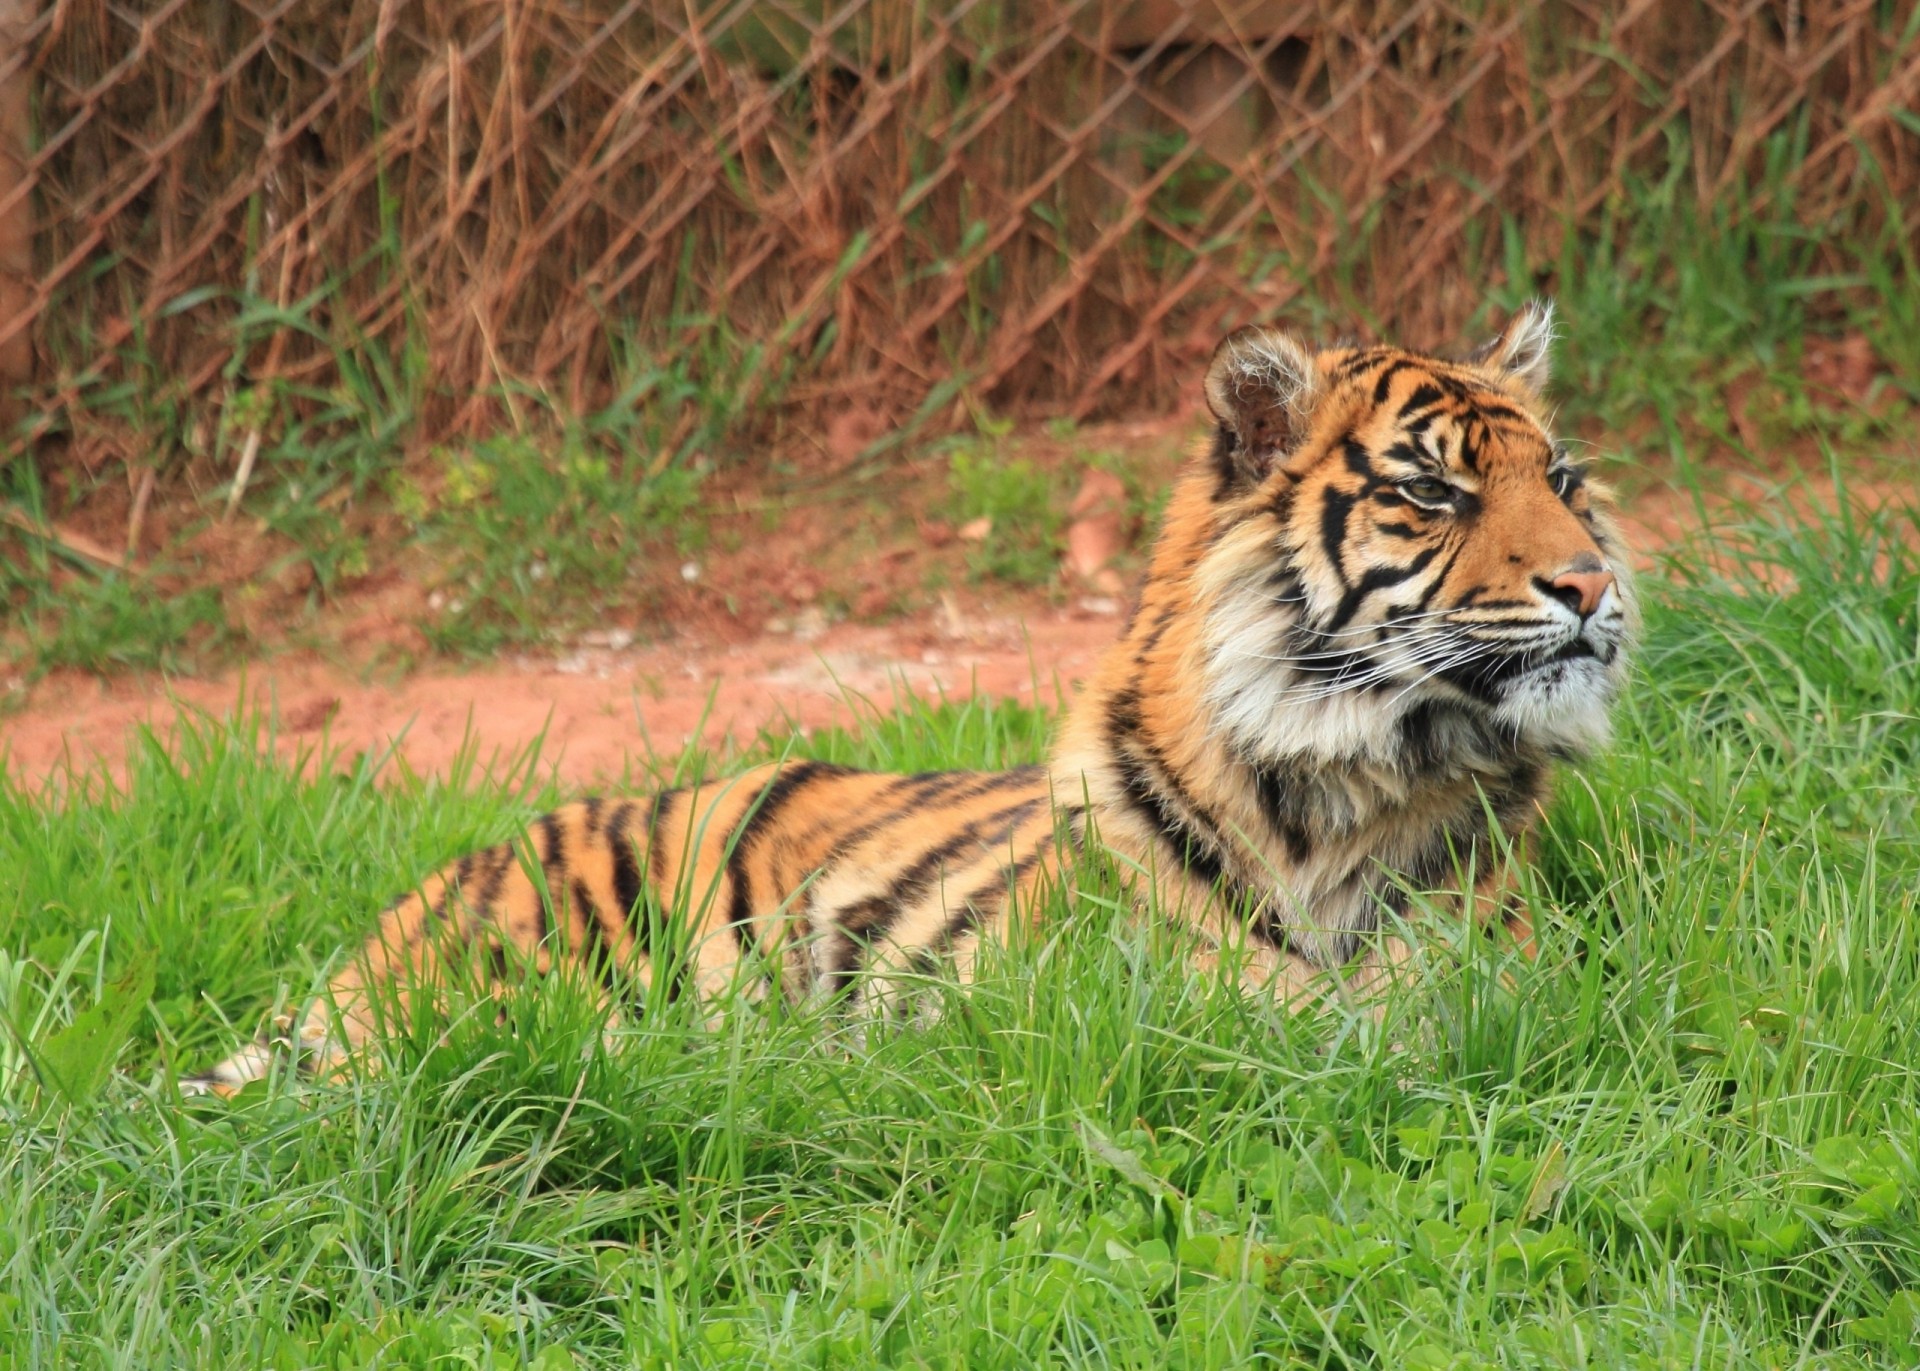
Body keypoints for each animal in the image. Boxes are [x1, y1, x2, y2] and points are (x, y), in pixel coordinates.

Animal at [186, 301, 1634, 1094]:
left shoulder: (1499, 966)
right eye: (1432, 492)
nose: (1590, 580)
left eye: (1562, 479)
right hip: (505, 987)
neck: (1348, 776)